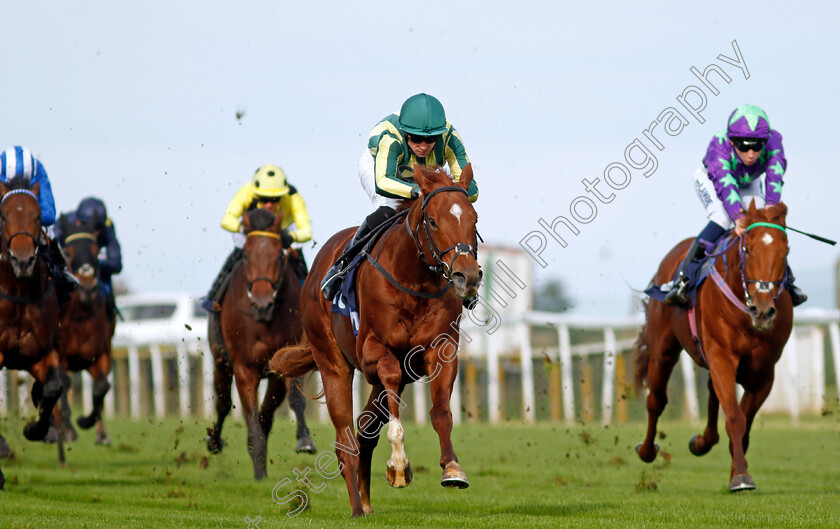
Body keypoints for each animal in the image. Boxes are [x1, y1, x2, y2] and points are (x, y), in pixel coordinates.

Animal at [54, 212, 115, 444]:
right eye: (68, 252)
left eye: (97, 249)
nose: (88, 288)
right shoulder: (58, 353)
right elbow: (63, 382)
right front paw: (69, 429)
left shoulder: (101, 353)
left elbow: (102, 386)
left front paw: (87, 422)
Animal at [206, 206, 316, 478]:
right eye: (246, 255)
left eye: (278, 256)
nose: (262, 304)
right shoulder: (243, 367)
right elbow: (251, 416)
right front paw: (258, 470)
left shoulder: (280, 365)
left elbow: (267, 415)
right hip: (220, 361)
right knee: (223, 403)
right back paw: (214, 441)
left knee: (295, 398)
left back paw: (304, 439)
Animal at [270, 164, 480, 516]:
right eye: (433, 221)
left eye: (474, 219)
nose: (468, 275)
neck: (414, 281)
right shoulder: (373, 353)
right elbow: (389, 378)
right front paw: (398, 465)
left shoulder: (440, 348)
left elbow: (440, 411)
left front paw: (452, 469)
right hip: (332, 362)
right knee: (346, 441)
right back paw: (357, 507)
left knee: (364, 432)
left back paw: (366, 503)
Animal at [636, 201, 796, 490]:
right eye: (747, 249)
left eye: (785, 250)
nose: (763, 311)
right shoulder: (722, 355)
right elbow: (734, 416)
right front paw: (741, 476)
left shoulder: (764, 372)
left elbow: (743, 421)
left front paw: (736, 470)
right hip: (663, 349)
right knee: (656, 399)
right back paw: (647, 450)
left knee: (711, 392)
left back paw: (702, 442)